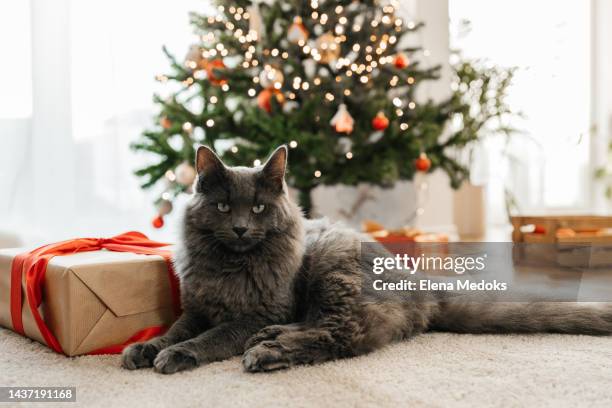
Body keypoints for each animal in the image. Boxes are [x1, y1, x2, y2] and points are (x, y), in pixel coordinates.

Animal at [122, 145, 608, 374]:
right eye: (224, 207)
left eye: (257, 208)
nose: (241, 228)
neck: (231, 267)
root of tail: (422, 286)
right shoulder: (196, 307)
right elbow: (175, 329)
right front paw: (146, 348)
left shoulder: (258, 310)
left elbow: (211, 337)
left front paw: (177, 356)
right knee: (323, 326)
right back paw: (272, 339)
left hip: (332, 269)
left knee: (343, 334)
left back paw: (267, 351)